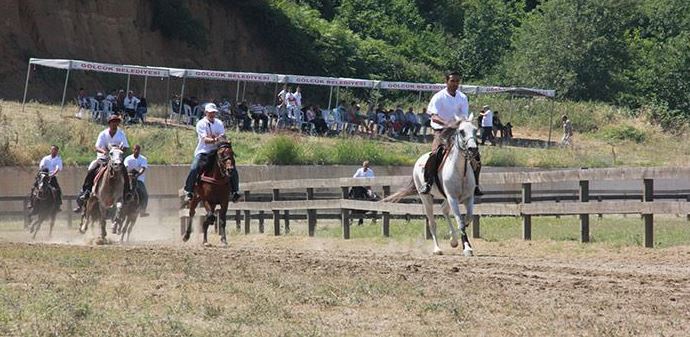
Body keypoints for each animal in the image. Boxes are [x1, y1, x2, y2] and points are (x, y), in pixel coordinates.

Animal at [384, 115, 476, 255]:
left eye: (475, 130)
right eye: (461, 131)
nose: (473, 149)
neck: (461, 171)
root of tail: (418, 161)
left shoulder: (468, 198)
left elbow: (468, 219)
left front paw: (457, 241)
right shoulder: (453, 198)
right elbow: (460, 221)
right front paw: (467, 248)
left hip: (445, 198)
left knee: (444, 209)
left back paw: (453, 240)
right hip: (426, 198)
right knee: (432, 223)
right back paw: (437, 249)